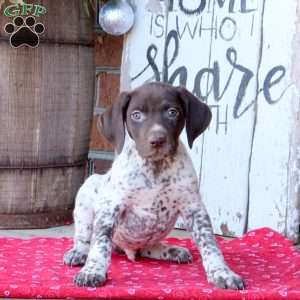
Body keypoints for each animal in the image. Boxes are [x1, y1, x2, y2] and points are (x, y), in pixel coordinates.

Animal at [64, 81, 245, 290]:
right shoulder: (111, 208)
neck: (156, 168)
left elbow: (210, 244)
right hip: (88, 190)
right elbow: (100, 243)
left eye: (172, 112)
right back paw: (78, 252)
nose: (157, 140)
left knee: (146, 249)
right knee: (86, 237)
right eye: (136, 115)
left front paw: (222, 273)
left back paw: (170, 251)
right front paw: (92, 271)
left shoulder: (194, 208)